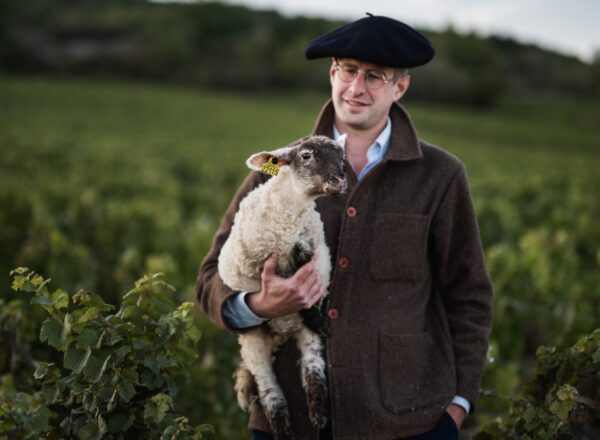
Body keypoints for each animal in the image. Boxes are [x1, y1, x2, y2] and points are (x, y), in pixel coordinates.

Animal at [219, 136, 346, 438]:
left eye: (343, 157)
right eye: (306, 155)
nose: (340, 179)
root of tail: (282, 335)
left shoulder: (316, 255)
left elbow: (305, 271)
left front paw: (320, 320)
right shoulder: (251, 265)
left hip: (306, 339)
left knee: (312, 369)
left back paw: (319, 415)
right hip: (253, 344)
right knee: (270, 393)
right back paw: (282, 428)